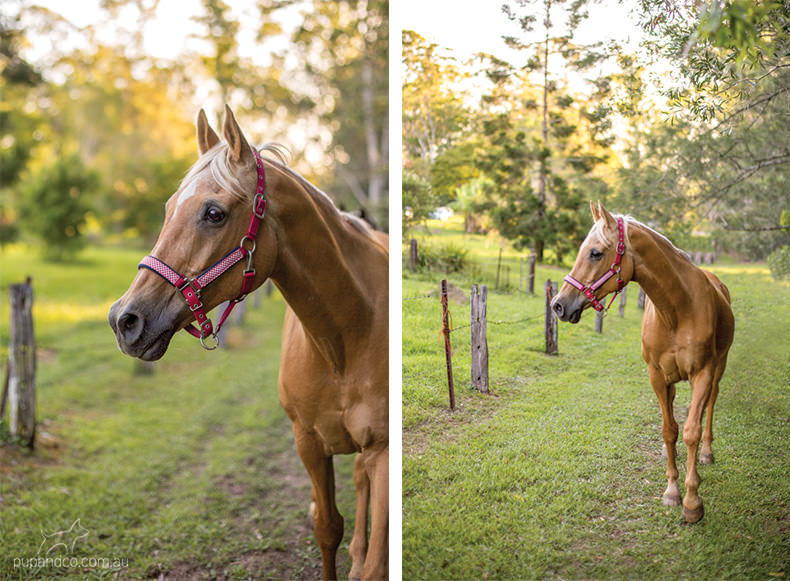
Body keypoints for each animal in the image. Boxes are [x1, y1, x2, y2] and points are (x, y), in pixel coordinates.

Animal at [109, 105, 390, 576]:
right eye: (168, 208)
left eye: (214, 213)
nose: (124, 319)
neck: (346, 339)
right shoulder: (308, 441)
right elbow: (327, 527)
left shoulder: (384, 451)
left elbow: (376, 562)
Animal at [552, 202, 732, 524]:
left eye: (595, 252)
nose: (558, 305)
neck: (677, 310)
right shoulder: (657, 376)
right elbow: (669, 430)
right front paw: (672, 491)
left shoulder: (703, 373)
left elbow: (691, 432)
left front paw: (692, 501)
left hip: (718, 370)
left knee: (709, 407)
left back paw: (707, 453)